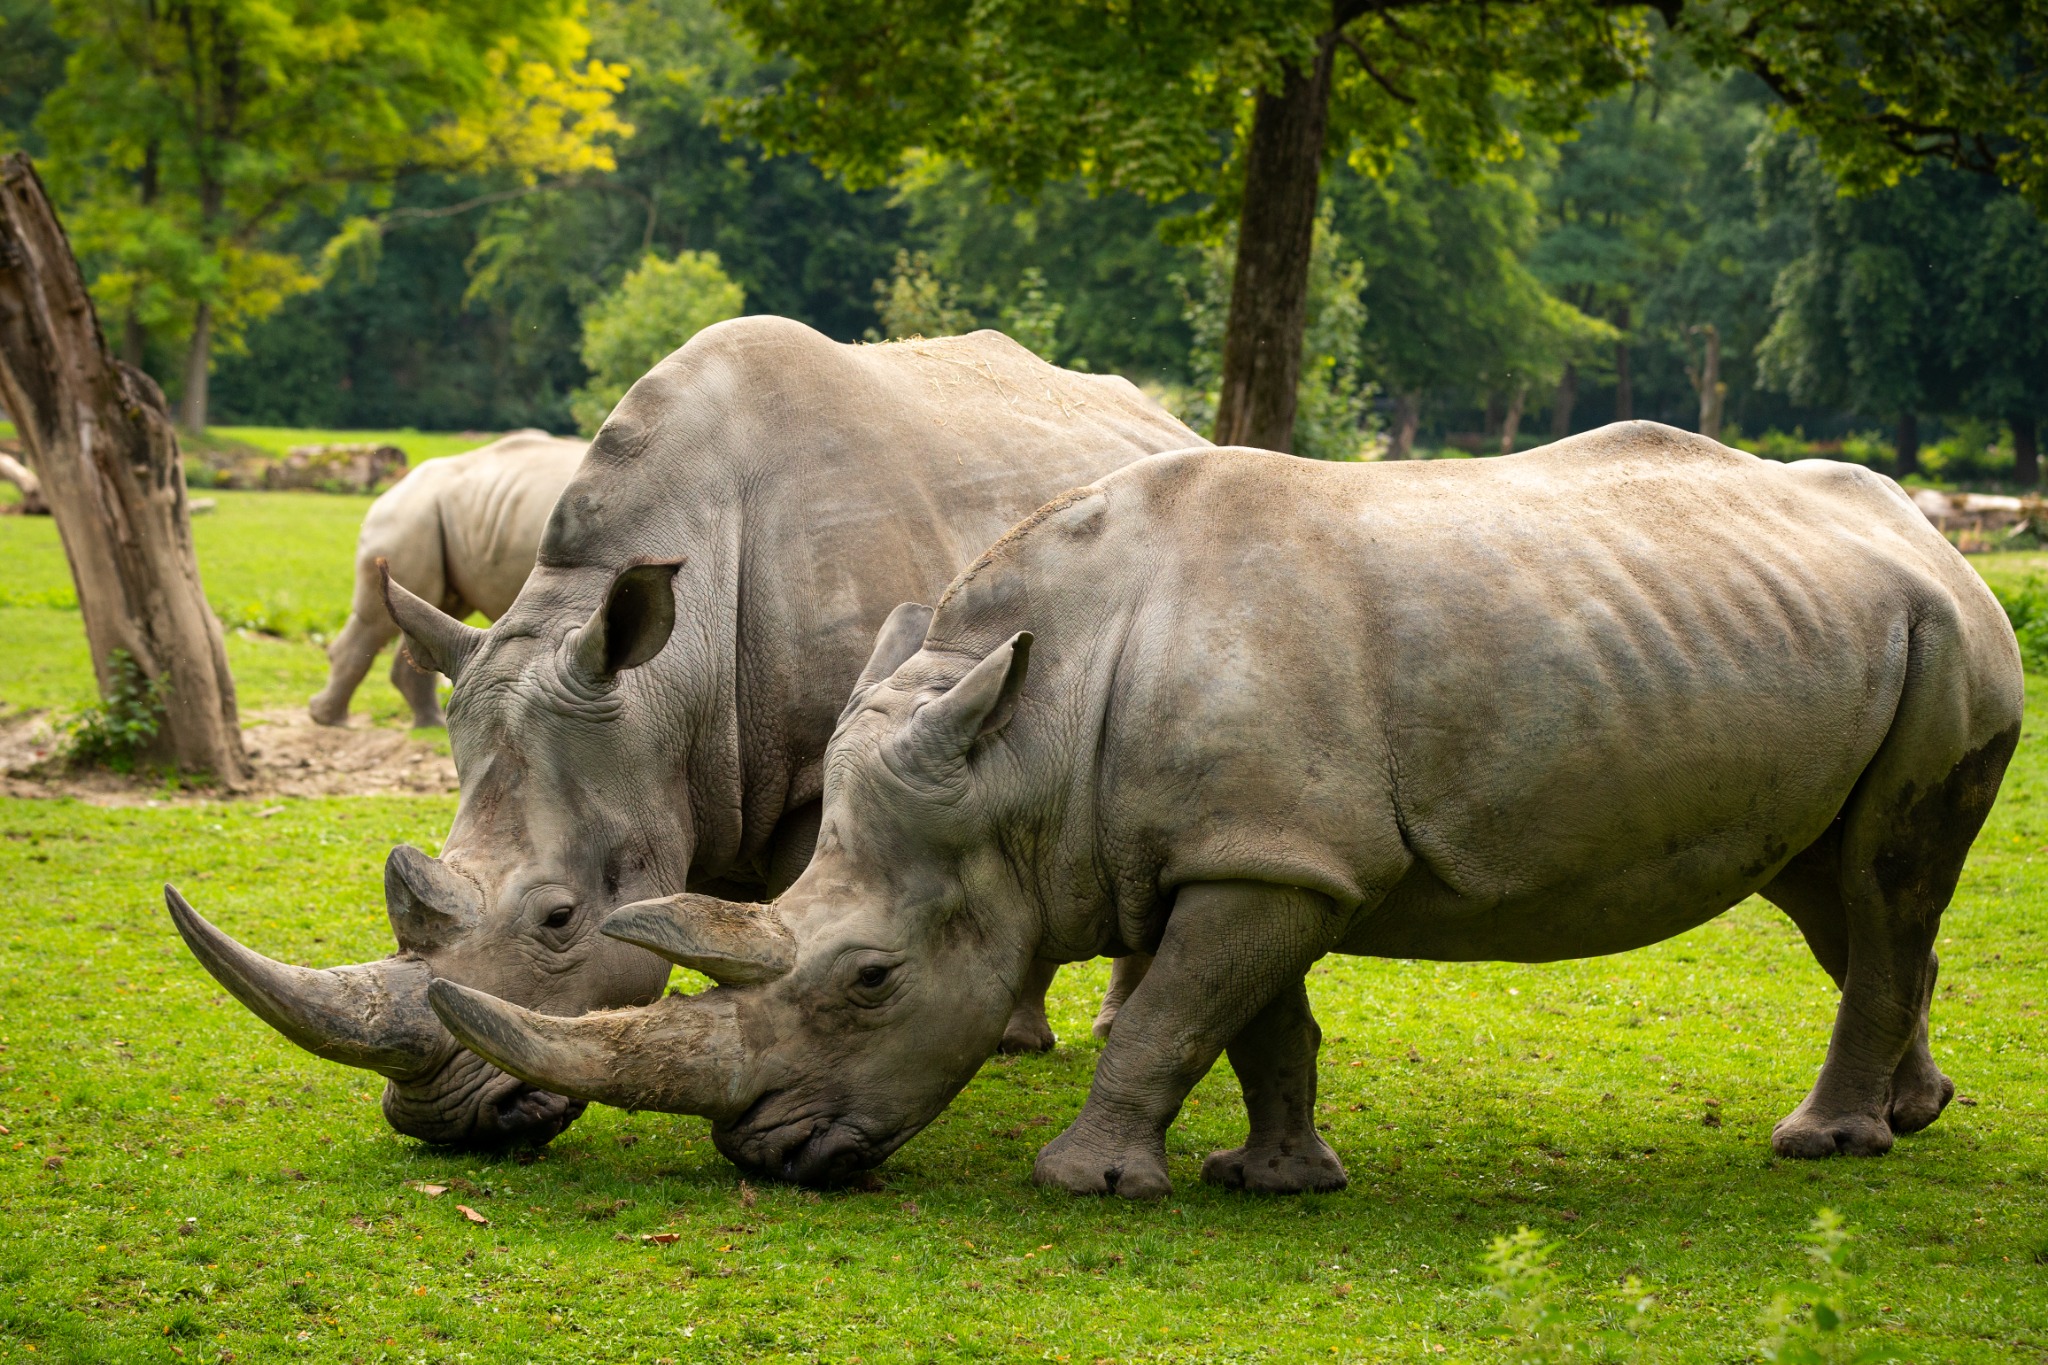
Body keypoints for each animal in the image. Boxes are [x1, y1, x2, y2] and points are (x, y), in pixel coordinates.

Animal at [308, 430, 587, 728]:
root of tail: (394, 488)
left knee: (437, 611)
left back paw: (431, 725)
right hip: (410, 515)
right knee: (380, 618)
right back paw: (332, 721)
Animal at [422, 425, 2022, 1195]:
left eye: (868, 981)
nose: (760, 1156)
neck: (1024, 742)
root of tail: (1928, 528)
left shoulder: (1268, 862)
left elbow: (1171, 1020)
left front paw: (1084, 1182)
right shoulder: (1258, 850)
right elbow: (1253, 1023)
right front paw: (1271, 1180)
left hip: (1952, 640)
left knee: (1882, 880)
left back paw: (1823, 1148)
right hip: (1857, 630)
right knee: (1838, 888)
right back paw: (1911, 1114)